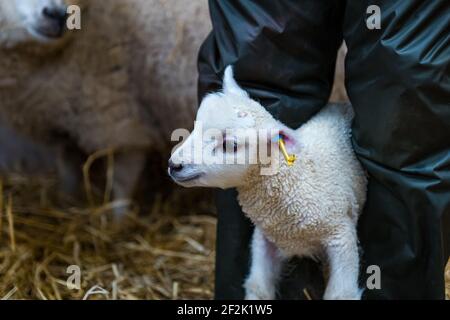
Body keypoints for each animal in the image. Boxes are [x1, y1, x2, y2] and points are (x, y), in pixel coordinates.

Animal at [0, 0, 211, 210]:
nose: (57, 14)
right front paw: (66, 201)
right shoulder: (71, 123)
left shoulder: (121, 121)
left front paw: (118, 216)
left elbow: (121, 183)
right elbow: (69, 170)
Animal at [168, 66, 366, 298]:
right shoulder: (265, 239)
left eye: (230, 145)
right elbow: (258, 287)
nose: (174, 165)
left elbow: (341, 294)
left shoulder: (341, 237)